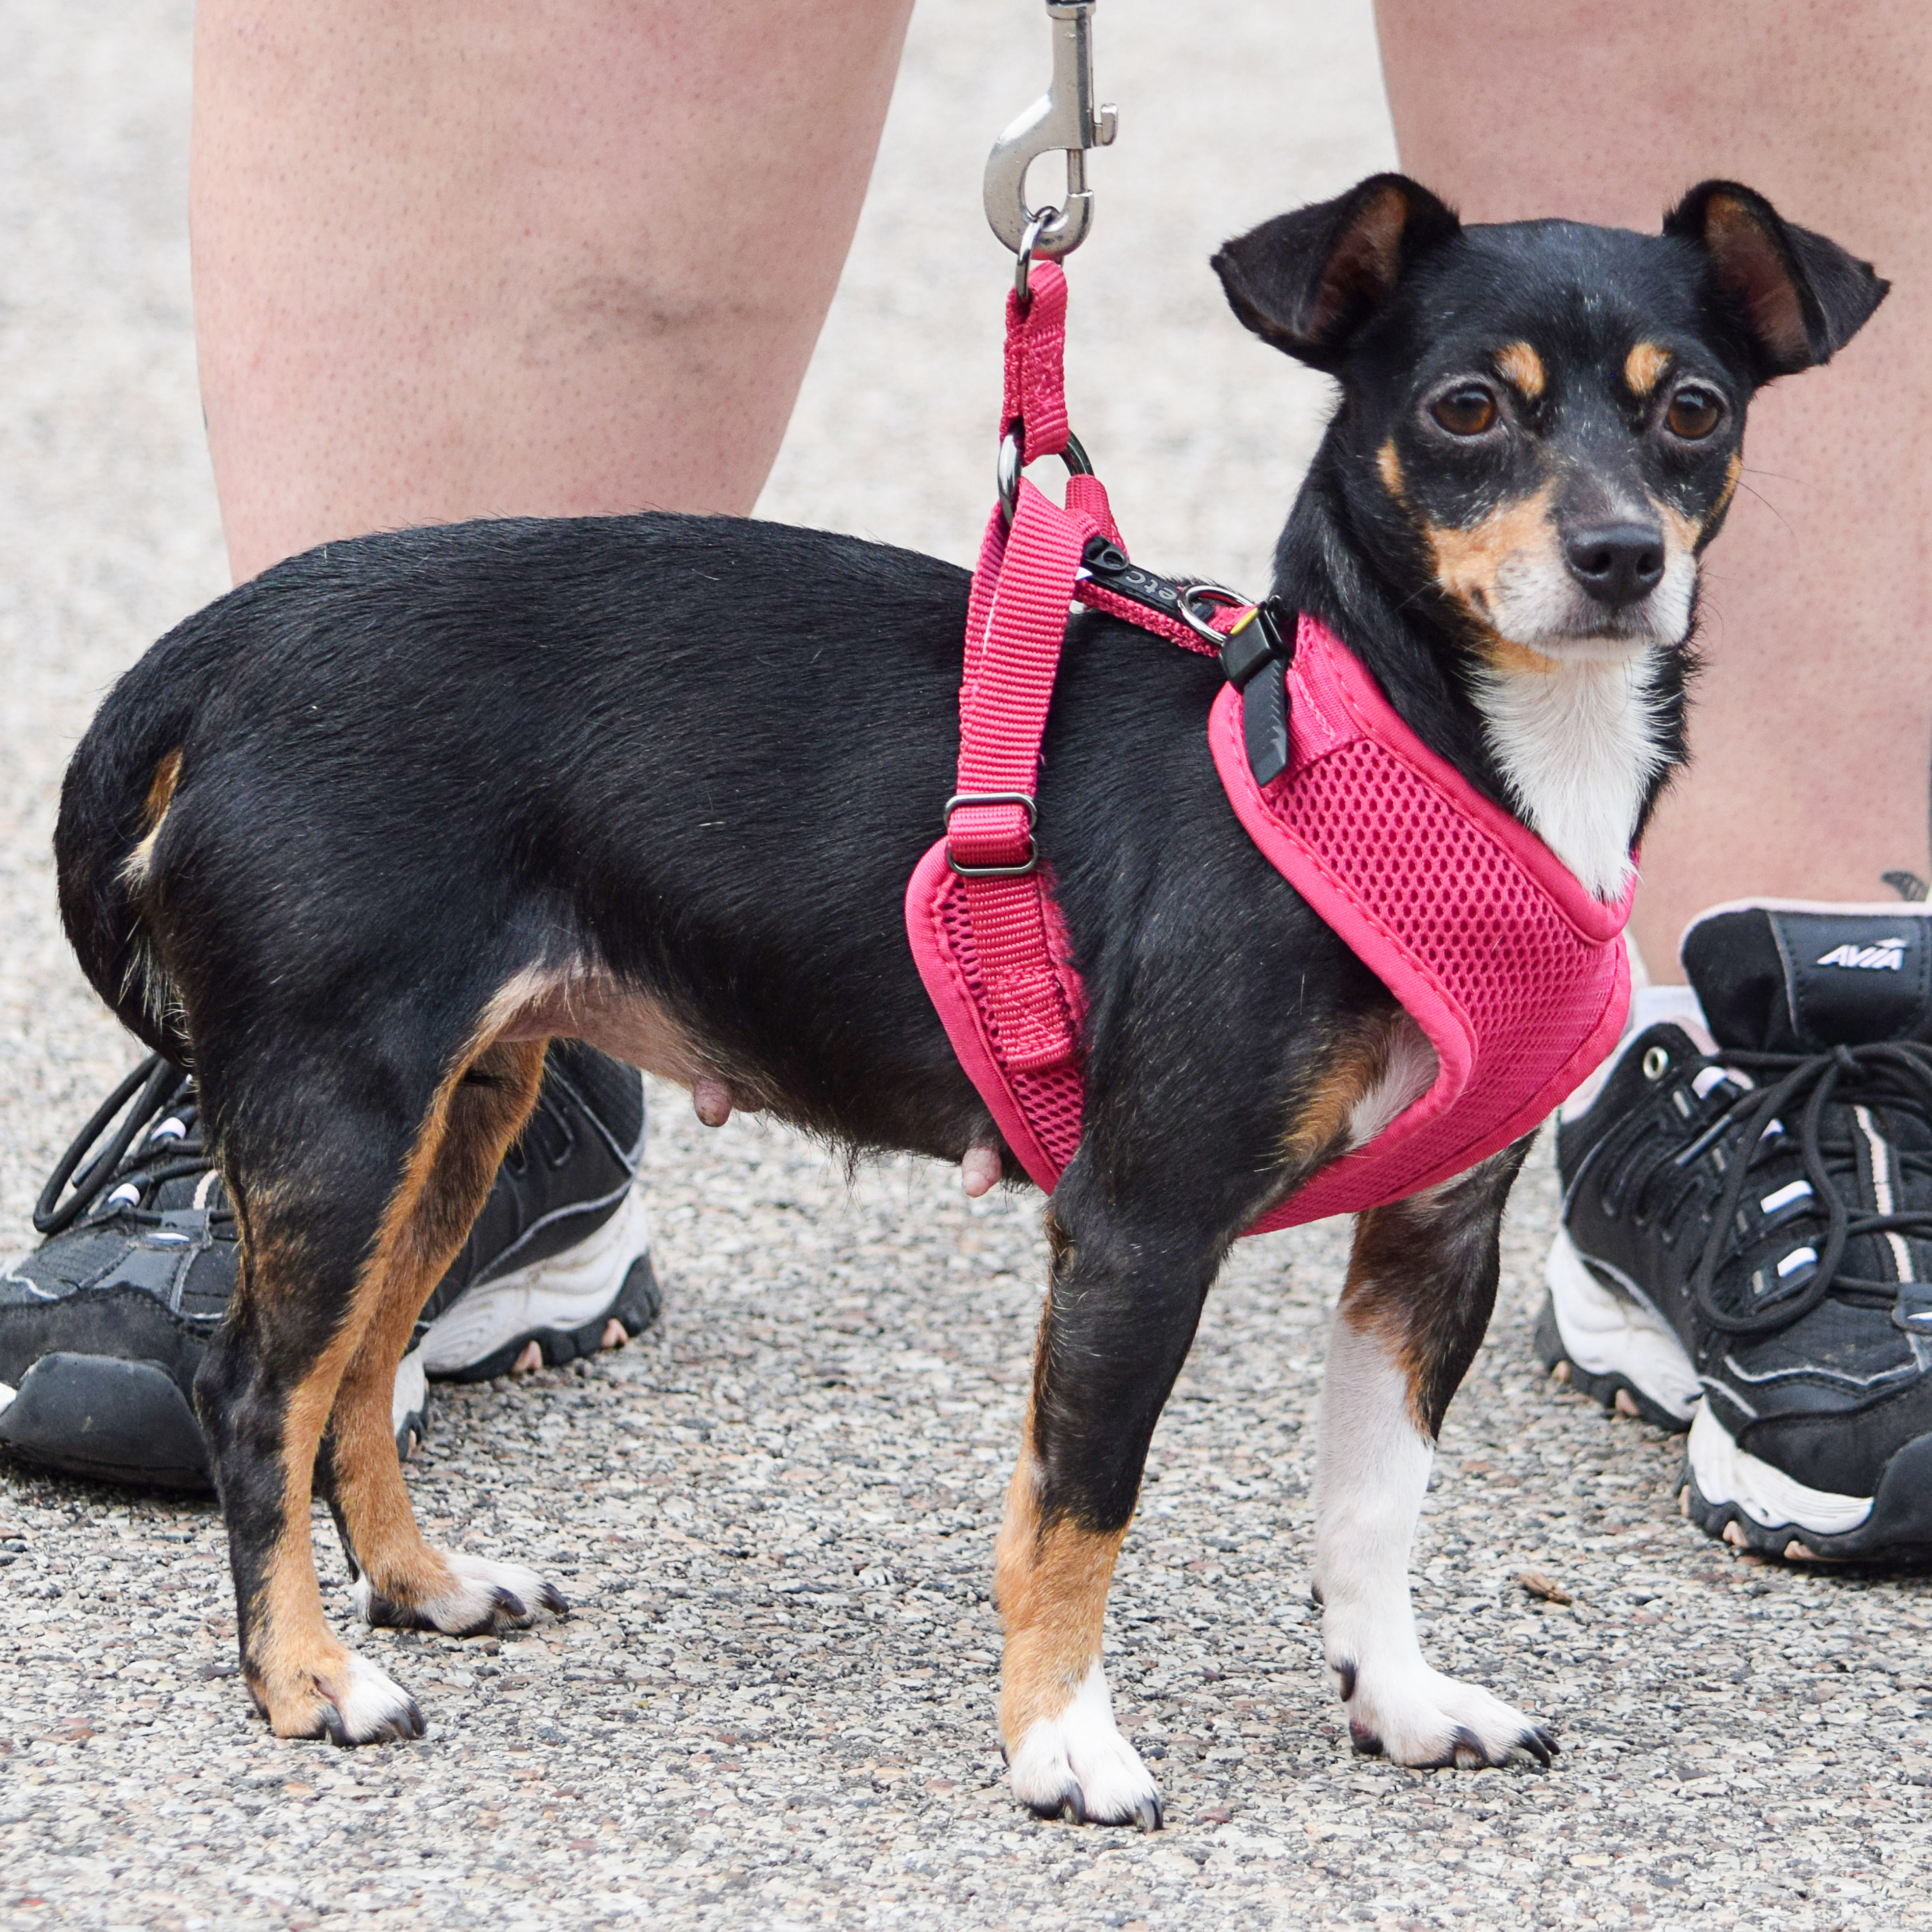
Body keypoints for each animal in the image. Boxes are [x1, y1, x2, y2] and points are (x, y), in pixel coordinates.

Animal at [56, 174, 1870, 1816]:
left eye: (1692, 411)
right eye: (1464, 409)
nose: (1617, 555)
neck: (1411, 742)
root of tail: (230, 644)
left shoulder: (1431, 1236)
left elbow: (1371, 1501)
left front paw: (1401, 1697)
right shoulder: (1139, 1223)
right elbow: (1078, 1504)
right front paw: (1061, 1740)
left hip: (452, 1114)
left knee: (355, 1370)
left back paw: (423, 1584)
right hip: (339, 1107)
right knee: (256, 1390)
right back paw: (309, 1675)